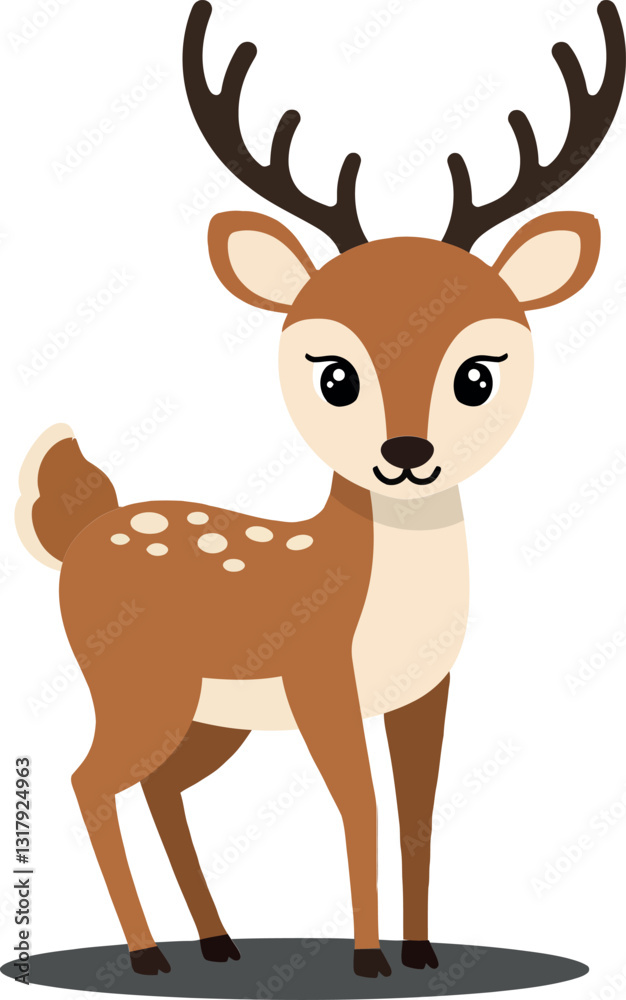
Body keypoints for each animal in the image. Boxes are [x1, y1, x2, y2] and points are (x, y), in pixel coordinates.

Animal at [15, 0, 625, 981]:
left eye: (479, 374)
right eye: (335, 376)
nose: (406, 454)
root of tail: (82, 530)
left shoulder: (425, 690)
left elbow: (418, 810)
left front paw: (421, 951)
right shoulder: (318, 678)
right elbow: (361, 805)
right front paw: (371, 958)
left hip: (207, 718)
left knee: (160, 788)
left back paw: (216, 941)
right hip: (136, 686)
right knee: (87, 778)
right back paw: (148, 956)